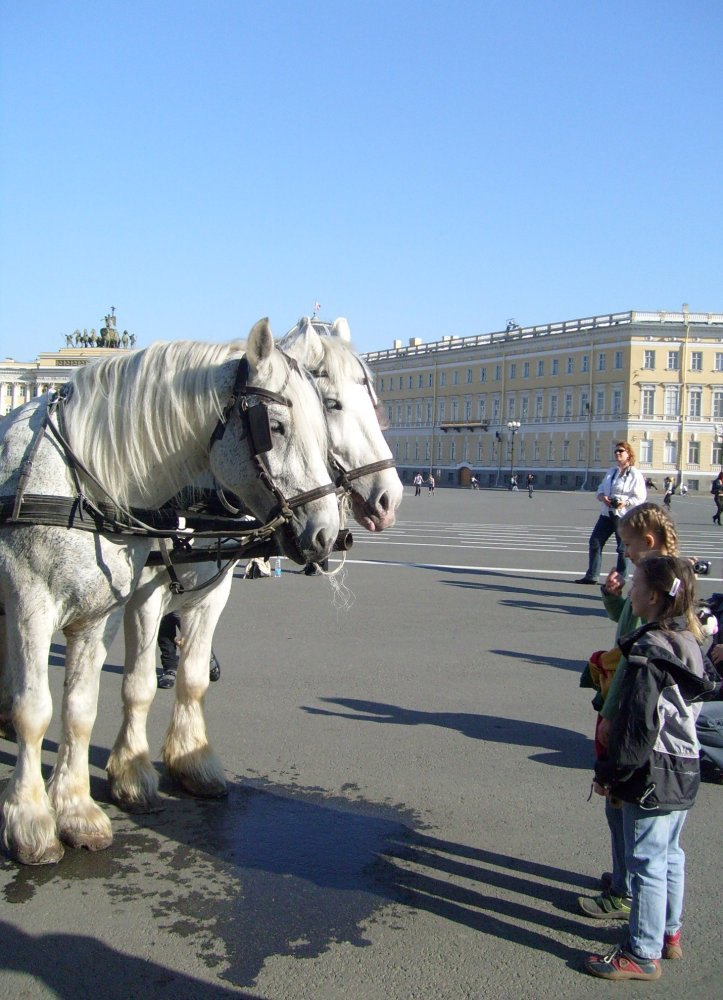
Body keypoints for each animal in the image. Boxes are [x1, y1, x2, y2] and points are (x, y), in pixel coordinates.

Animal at [0, 322, 340, 868]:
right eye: (277, 427)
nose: (329, 534)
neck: (86, 486)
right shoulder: (37, 603)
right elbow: (40, 710)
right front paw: (31, 821)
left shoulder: (103, 614)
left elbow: (82, 709)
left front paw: (77, 811)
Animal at [107, 320, 402, 812]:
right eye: (332, 404)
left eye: (373, 402)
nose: (389, 498)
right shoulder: (143, 596)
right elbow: (138, 684)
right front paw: (130, 773)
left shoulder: (213, 591)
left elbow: (193, 679)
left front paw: (192, 762)